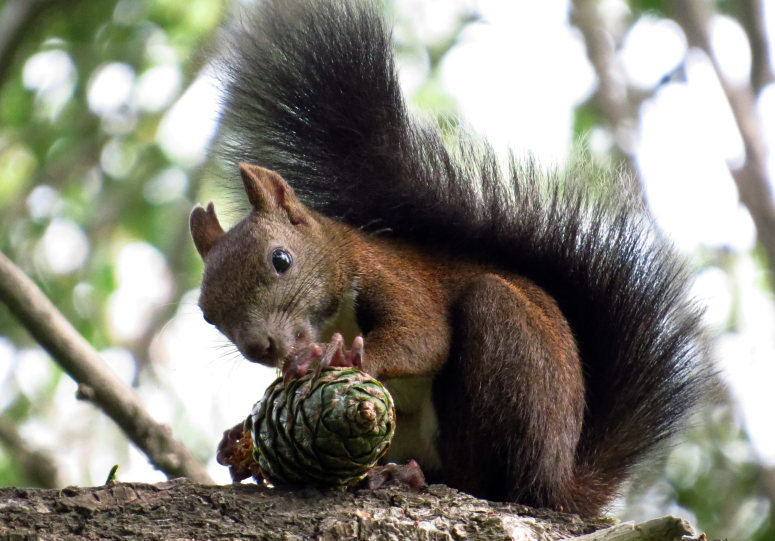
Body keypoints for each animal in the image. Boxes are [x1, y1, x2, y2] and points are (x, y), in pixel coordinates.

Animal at [188, 0, 708, 516]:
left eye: (281, 260)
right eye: (207, 315)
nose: (261, 347)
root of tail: (560, 484)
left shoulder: (395, 278)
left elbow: (424, 337)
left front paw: (343, 354)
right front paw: (239, 436)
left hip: (505, 346)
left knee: (482, 479)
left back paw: (411, 475)